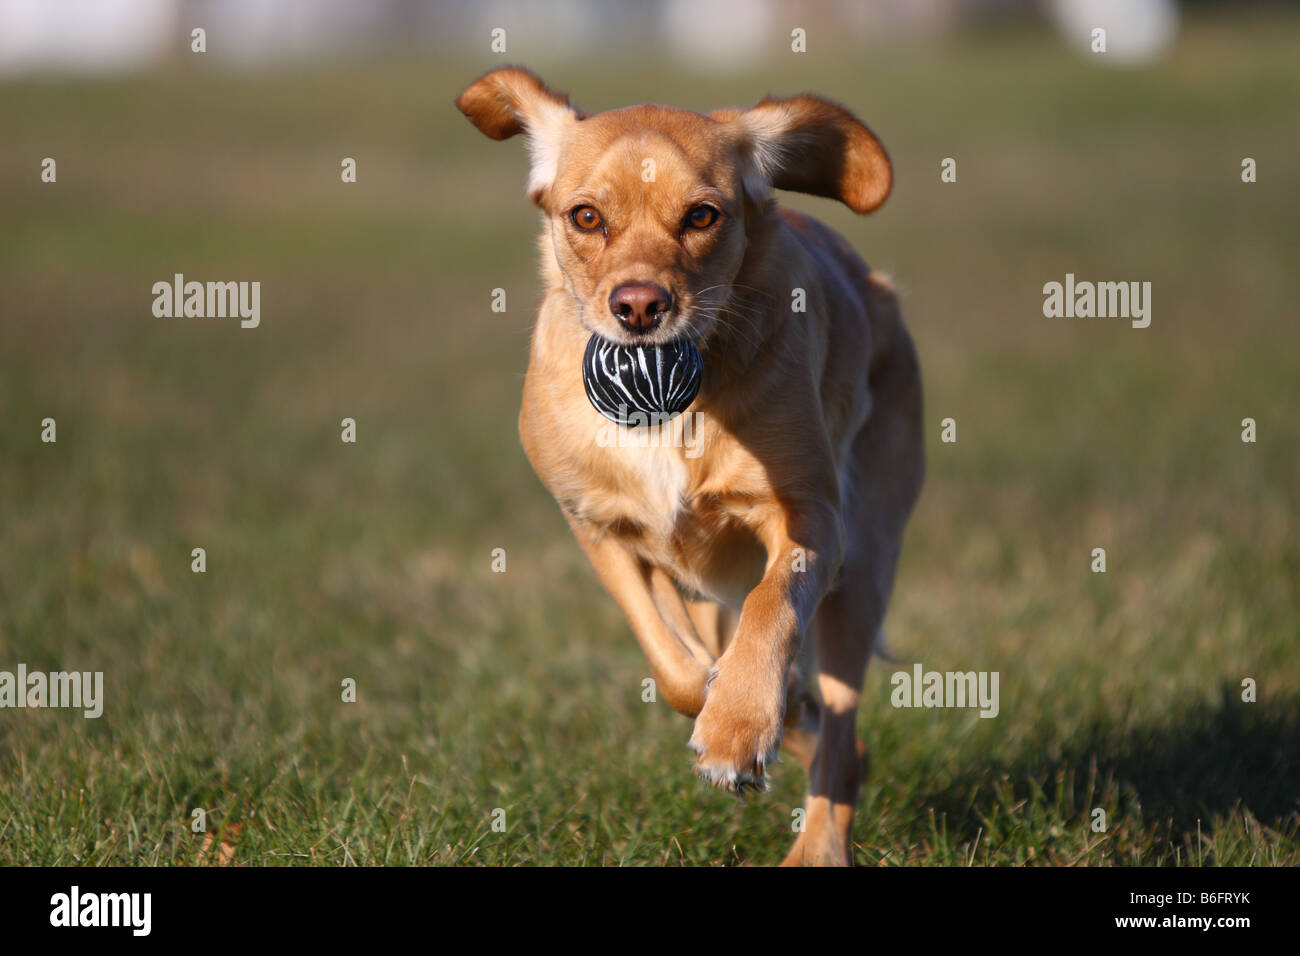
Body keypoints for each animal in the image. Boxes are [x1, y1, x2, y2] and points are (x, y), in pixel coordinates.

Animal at [457, 67, 925, 868]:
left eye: (703, 216)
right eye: (586, 217)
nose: (640, 305)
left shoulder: (812, 519)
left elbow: (771, 610)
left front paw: (738, 729)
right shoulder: (600, 530)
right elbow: (672, 661)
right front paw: (730, 706)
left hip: (864, 566)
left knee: (843, 739)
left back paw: (816, 841)